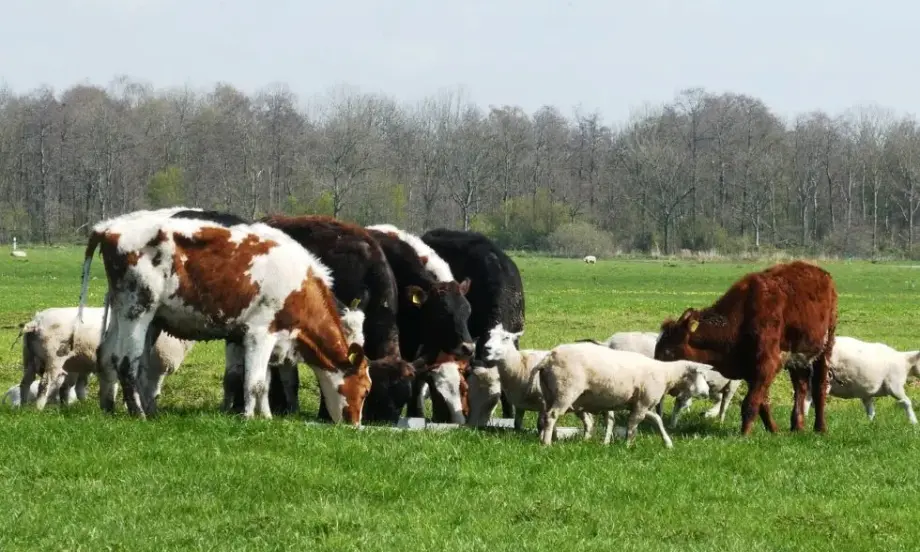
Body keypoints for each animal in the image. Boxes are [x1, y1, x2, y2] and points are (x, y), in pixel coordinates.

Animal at [18, 306, 195, 410]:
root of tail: (36, 322)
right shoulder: (157, 366)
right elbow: (152, 390)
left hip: (30, 358)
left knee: (26, 382)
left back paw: (23, 405)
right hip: (53, 358)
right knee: (44, 384)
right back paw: (38, 408)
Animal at [75, 207, 370, 422]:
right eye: (366, 389)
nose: (355, 424)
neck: (299, 283)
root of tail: (109, 227)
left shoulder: (262, 337)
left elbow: (261, 380)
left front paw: (265, 416)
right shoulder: (259, 333)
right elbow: (254, 382)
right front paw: (249, 418)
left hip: (127, 313)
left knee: (109, 355)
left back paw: (113, 407)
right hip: (137, 310)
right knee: (127, 362)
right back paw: (138, 413)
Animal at [536, 344, 716, 448]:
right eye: (701, 375)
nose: (707, 392)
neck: (666, 374)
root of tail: (548, 358)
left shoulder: (640, 404)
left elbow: (657, 420)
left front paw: (668, 443)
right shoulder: (642, 404)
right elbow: (632, 425)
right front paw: (628, 445)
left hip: (550, 394)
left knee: (545, 416)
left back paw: (544, 439)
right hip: (566, 391)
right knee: (552, 416)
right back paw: (547, 444)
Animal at [652, 260, 836, 438]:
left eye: (668, 351)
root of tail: (822, 274)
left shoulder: (767, 364)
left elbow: (750, 402)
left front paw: (744, 435)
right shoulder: (750, 369)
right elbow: (762, 402)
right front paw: (774, 430)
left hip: (825, 348)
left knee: (819, 387)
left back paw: (820, 428)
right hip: (798, 358)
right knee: (800, 386)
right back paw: (797, 426)